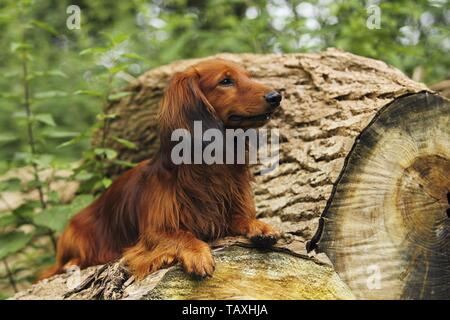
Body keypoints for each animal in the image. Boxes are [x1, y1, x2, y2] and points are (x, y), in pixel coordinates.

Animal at [41, 58, 282, 278]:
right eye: (225, 81)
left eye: (248, 76)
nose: (276, 97)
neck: (210, 166)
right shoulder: (153, 232)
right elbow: (182, 235)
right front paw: (197, 253)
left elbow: (242, 218)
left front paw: (261, 226)